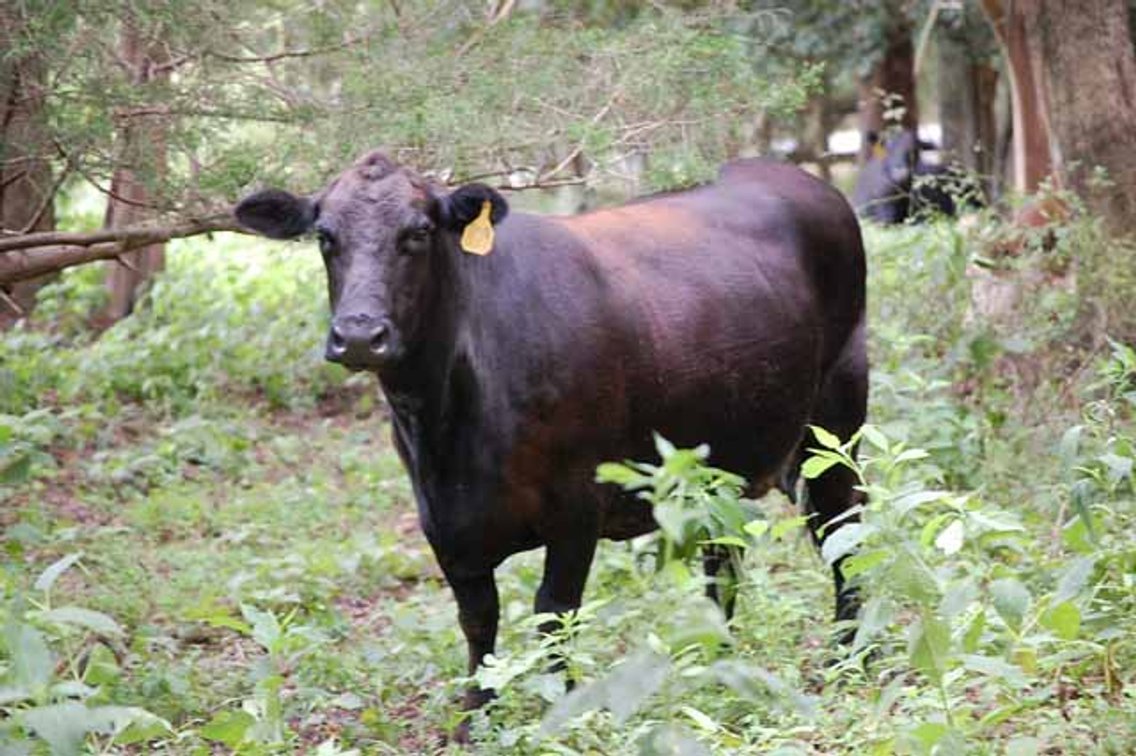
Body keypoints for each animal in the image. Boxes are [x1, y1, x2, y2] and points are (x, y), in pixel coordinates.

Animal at [234, 150, 868, 728]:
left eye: (418, 232)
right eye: (325, 236)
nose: (360, 334)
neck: (448, 430)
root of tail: (792, 175)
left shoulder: (576, 504)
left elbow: (554, 615)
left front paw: (561, 713)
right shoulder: (441, 521)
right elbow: (478, 618)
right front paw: (474, 720)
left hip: (835, 425)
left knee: (845, 536)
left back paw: (846, 660)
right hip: (723, 459)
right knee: (724, 560)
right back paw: (716, 662)